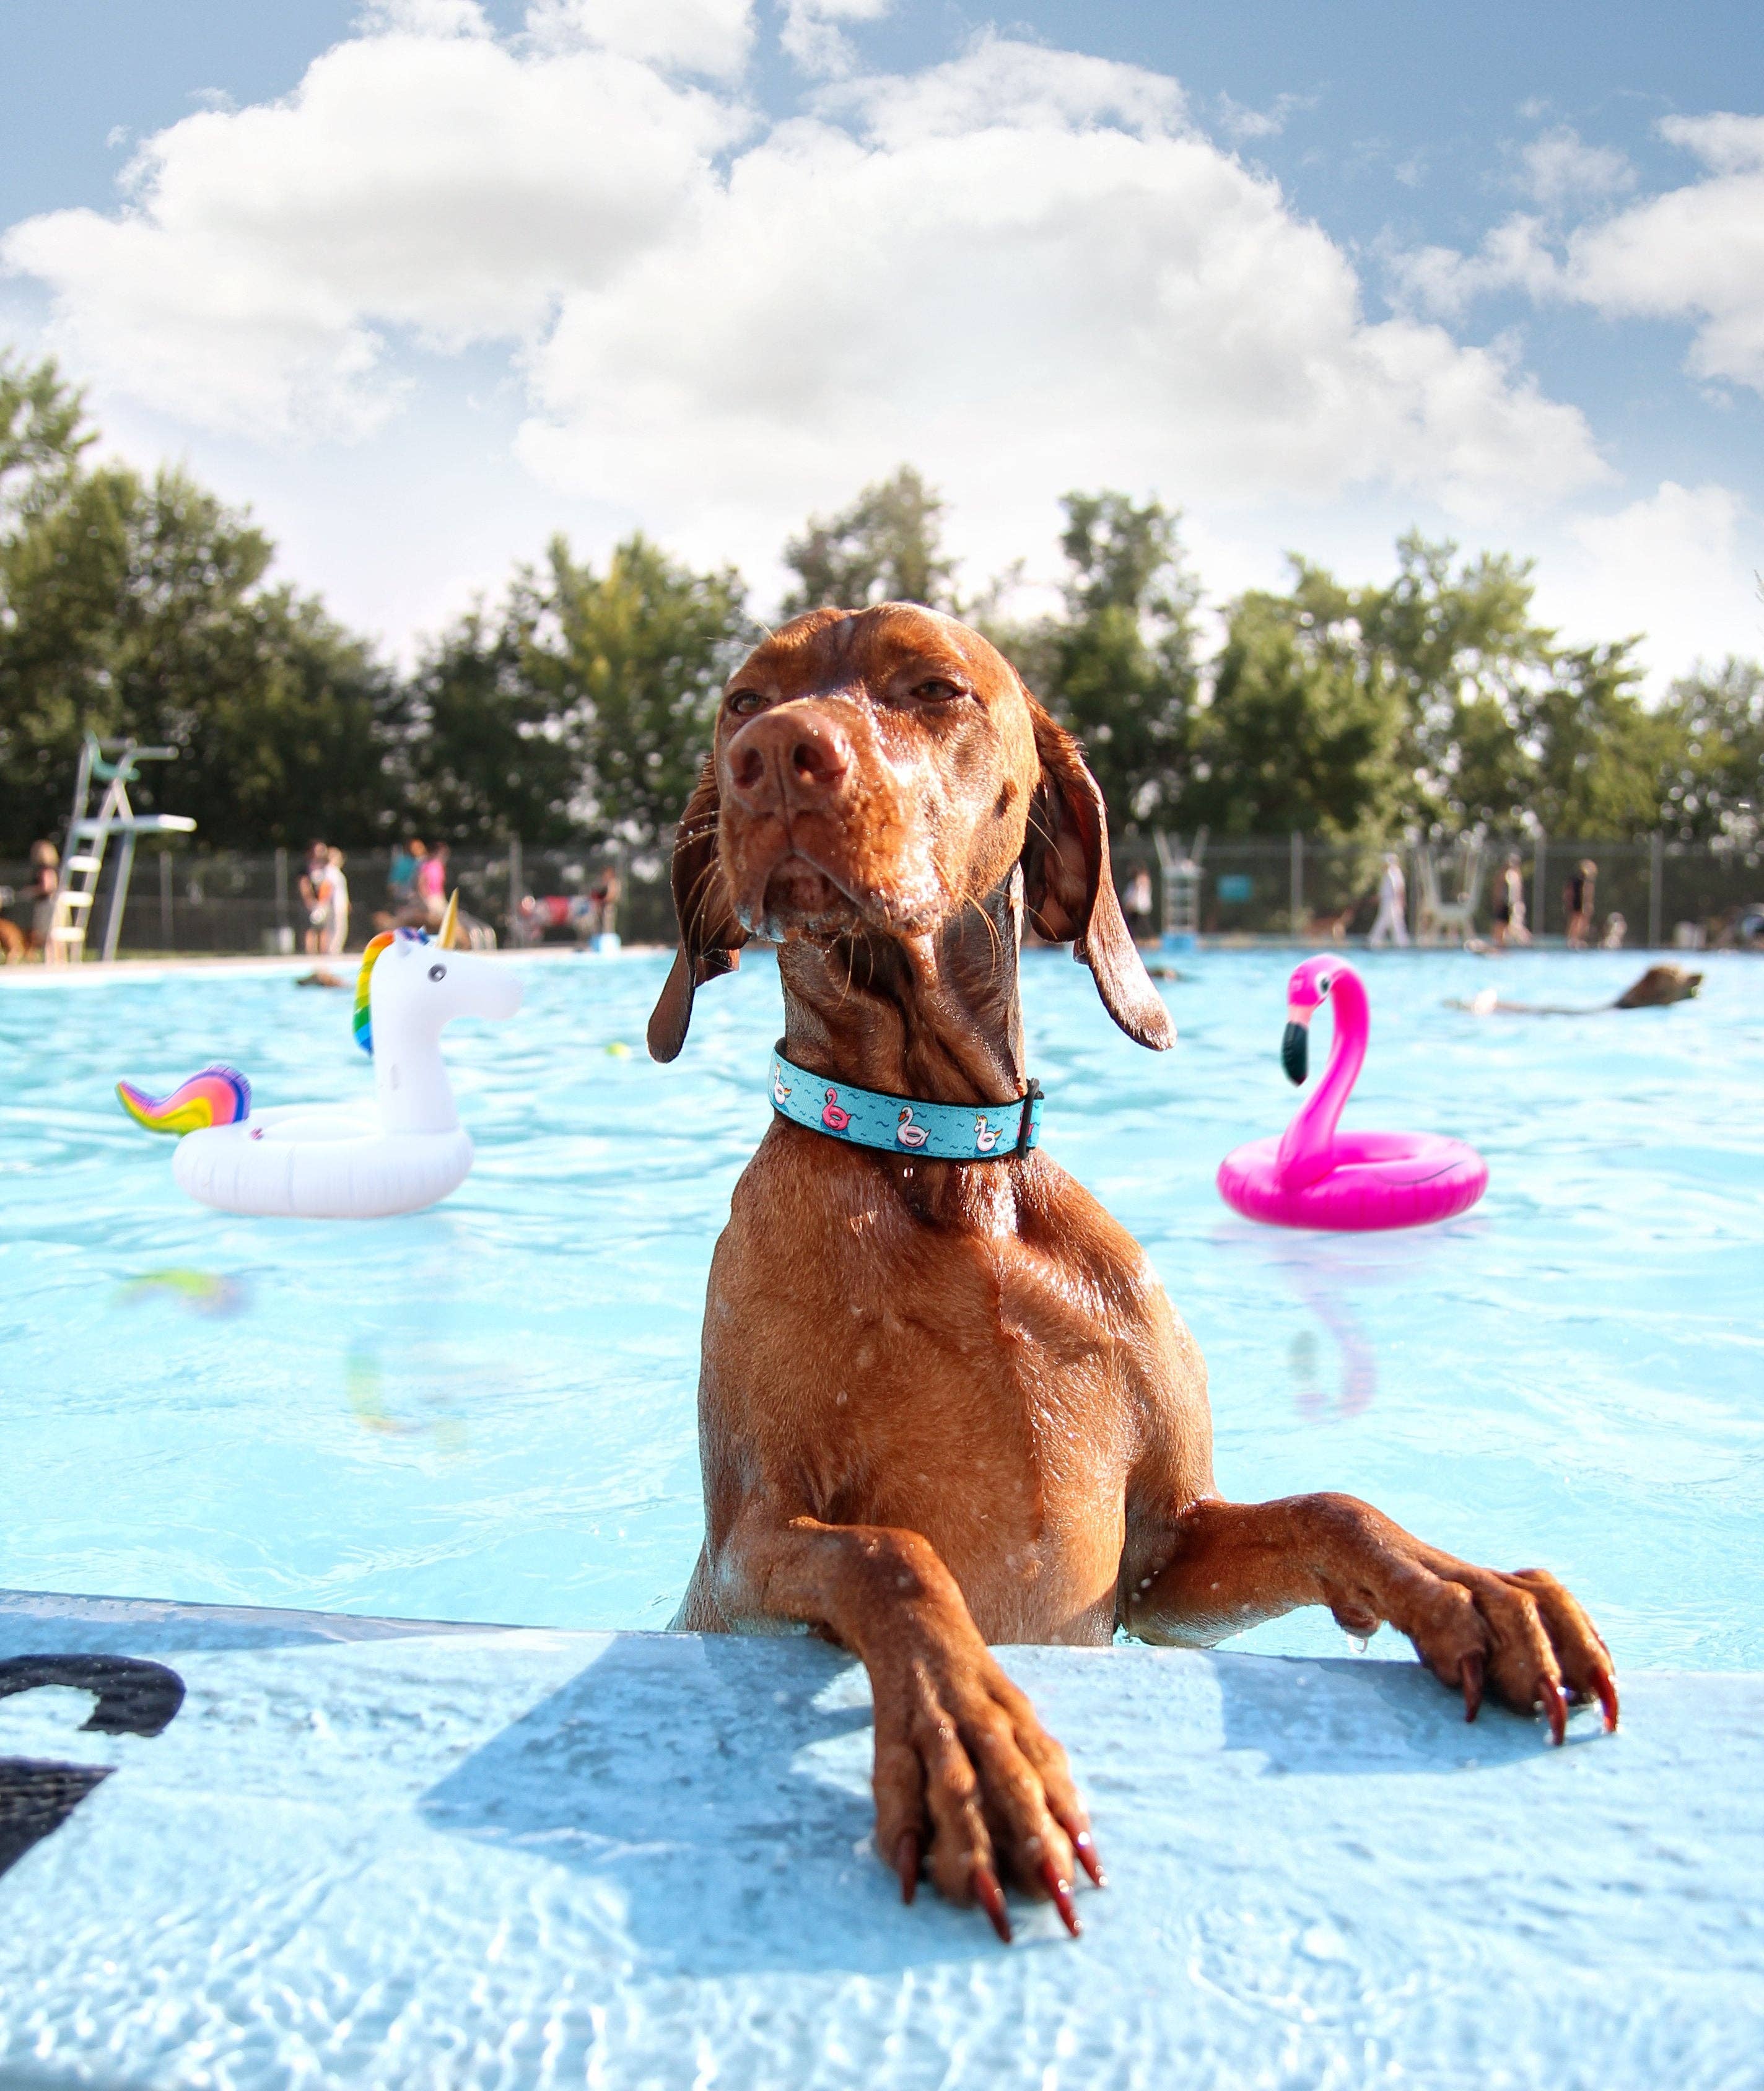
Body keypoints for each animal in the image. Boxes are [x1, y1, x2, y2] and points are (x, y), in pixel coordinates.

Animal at [644, 602, 1613, 1940]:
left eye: (930, 685)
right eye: (741, 701)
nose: (771, 756)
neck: (940, 1172)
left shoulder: (1161, 1559)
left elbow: (1332, 1506)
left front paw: (1461, 1586)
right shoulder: (742, 1556)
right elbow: (893, 1557)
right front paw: (970, 1745)